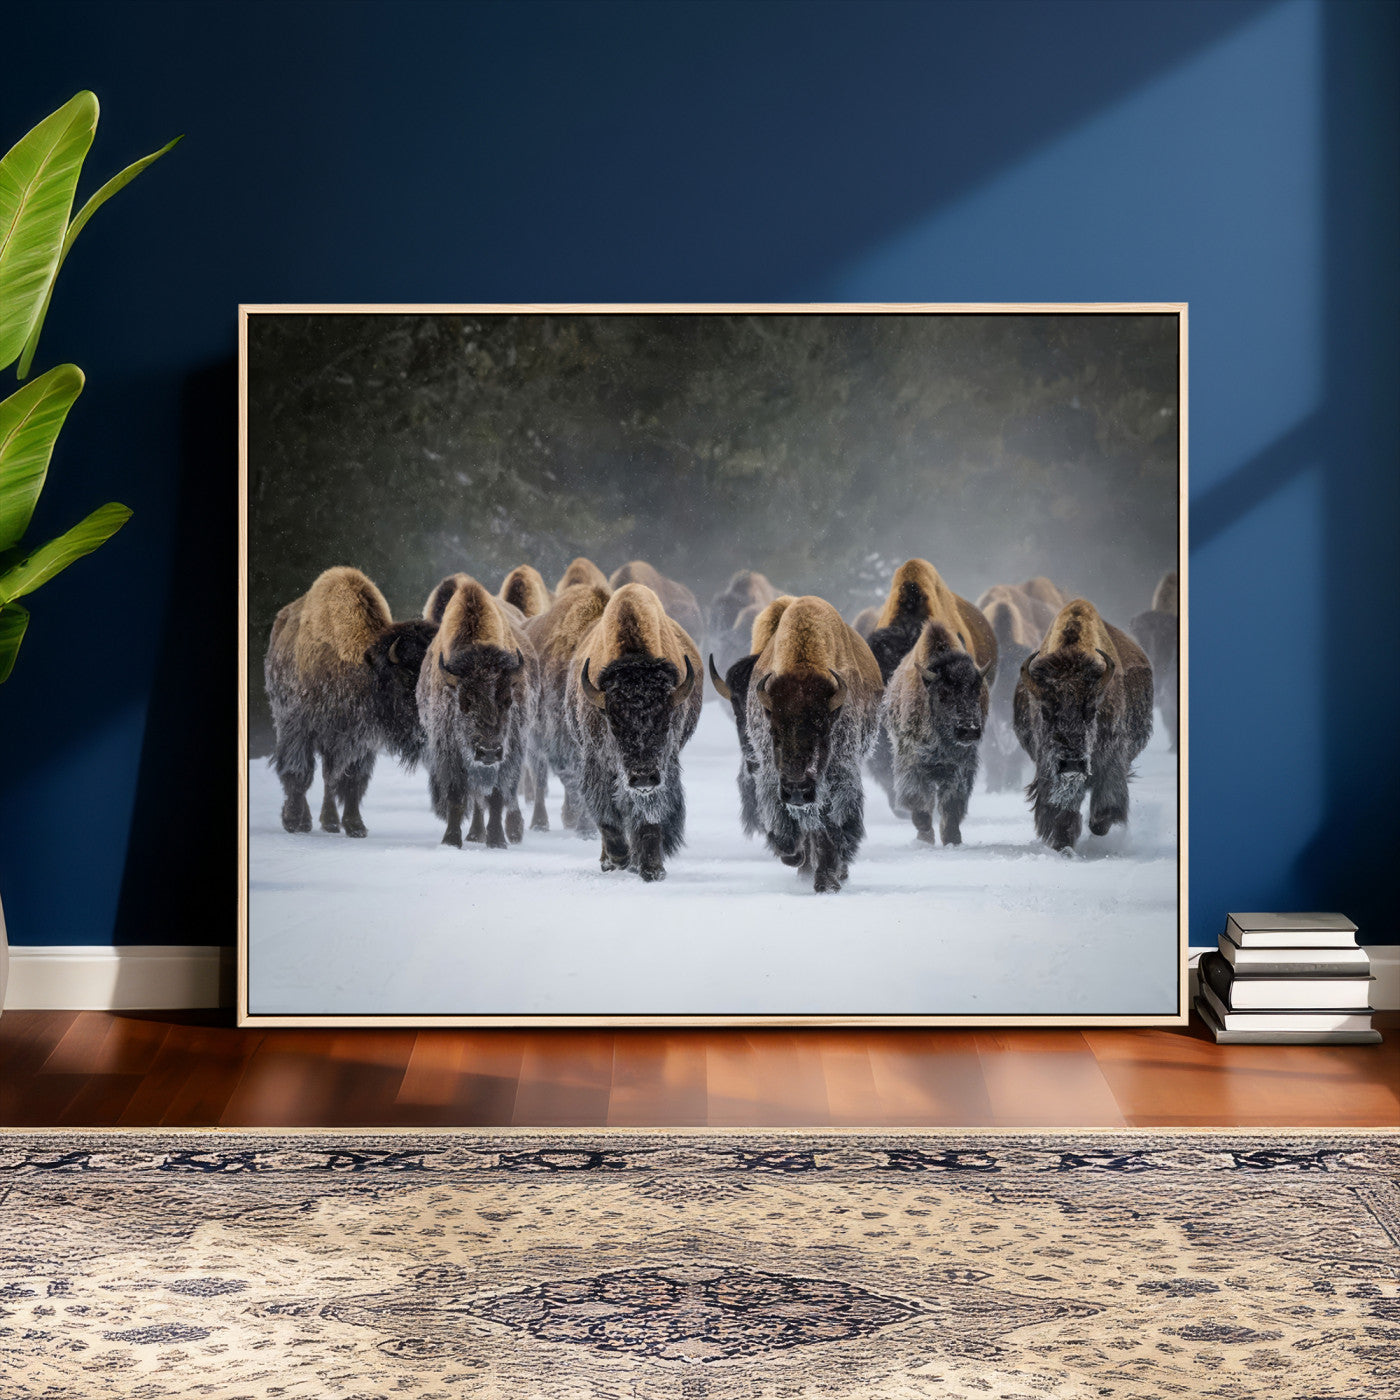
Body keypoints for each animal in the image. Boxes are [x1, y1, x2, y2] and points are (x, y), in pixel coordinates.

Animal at [265, 566, 436, 837]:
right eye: (408, 676)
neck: (365, 666)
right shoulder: (300, 728)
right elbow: (299, 773)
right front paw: (292, 821)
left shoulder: (359, 741)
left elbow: (352, 780)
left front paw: (355, 826)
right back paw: (305, 821)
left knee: (329, 778)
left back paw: (330, 822)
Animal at [568, 583, 702, 881]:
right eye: (614, 724)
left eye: (665, 722)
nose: (642, 778)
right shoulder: (598, 763)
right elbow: (607, 815)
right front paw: (618, 858)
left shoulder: (663, 768)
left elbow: (649, 815)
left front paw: (652, 869)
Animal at [747, 596, 883, 892]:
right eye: (774, 730)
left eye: (824, 730)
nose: (798, 789)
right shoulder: (773, 777)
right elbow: (788, 823)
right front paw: (793, 856)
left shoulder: (837, 779)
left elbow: (830, 827)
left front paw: (827, 881)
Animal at [1013, 598, 1154, 851]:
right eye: (1045, 711)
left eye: (1091, 710)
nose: (1071, 763)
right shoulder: (1049, 767)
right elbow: (1061, 805)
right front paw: (1063, 843)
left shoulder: (1112, 758)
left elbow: (1107, 799)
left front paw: (1098, 825)